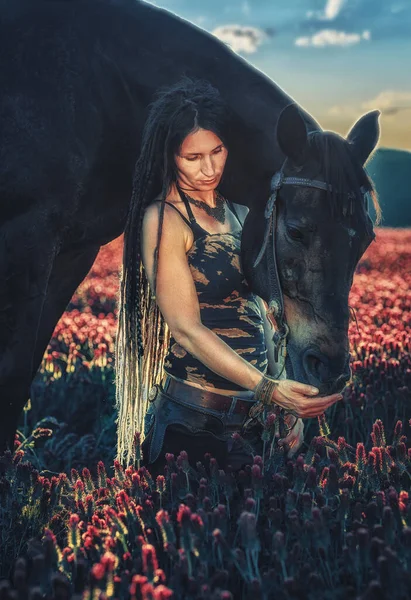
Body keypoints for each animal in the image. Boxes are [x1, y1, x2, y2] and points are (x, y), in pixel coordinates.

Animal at [0, 0, 382, 452]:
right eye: (296, 231)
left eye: (367, 240)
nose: (331, 370)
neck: (101, 94)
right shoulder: (27, 238)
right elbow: (10, 378)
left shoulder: (73, 252)